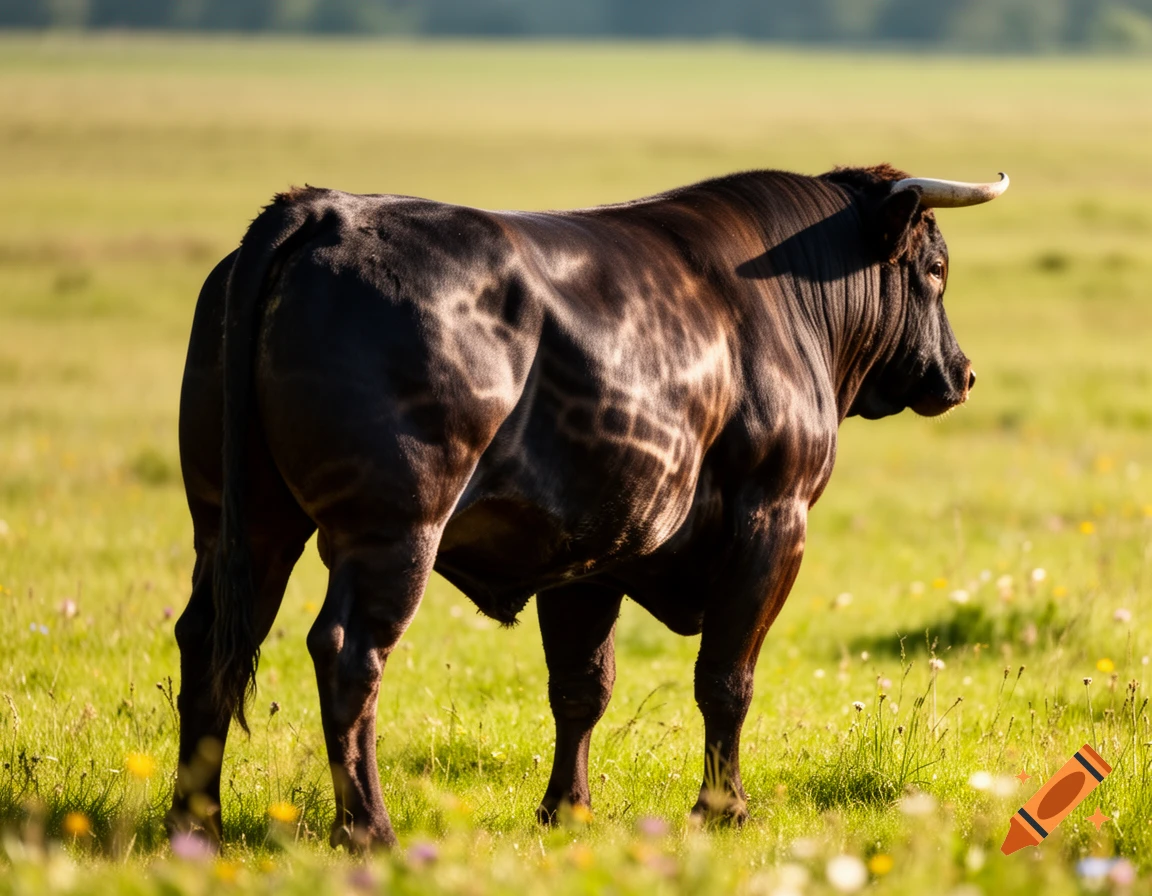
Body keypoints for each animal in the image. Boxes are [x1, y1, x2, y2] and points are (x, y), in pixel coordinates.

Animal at [167, 164, 1008, 850]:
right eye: (936, 269)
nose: (963, 373)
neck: (785, 304)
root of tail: (324, 209)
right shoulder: (773, 518)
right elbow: (726, 679)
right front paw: (723, 810)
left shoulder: (590, 551)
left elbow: (581, 686)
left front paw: (565, 810)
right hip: (391, 530)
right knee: (348, 654)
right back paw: (367, 830)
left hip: (241, 526)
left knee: (207, 642)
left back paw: (196, 825)